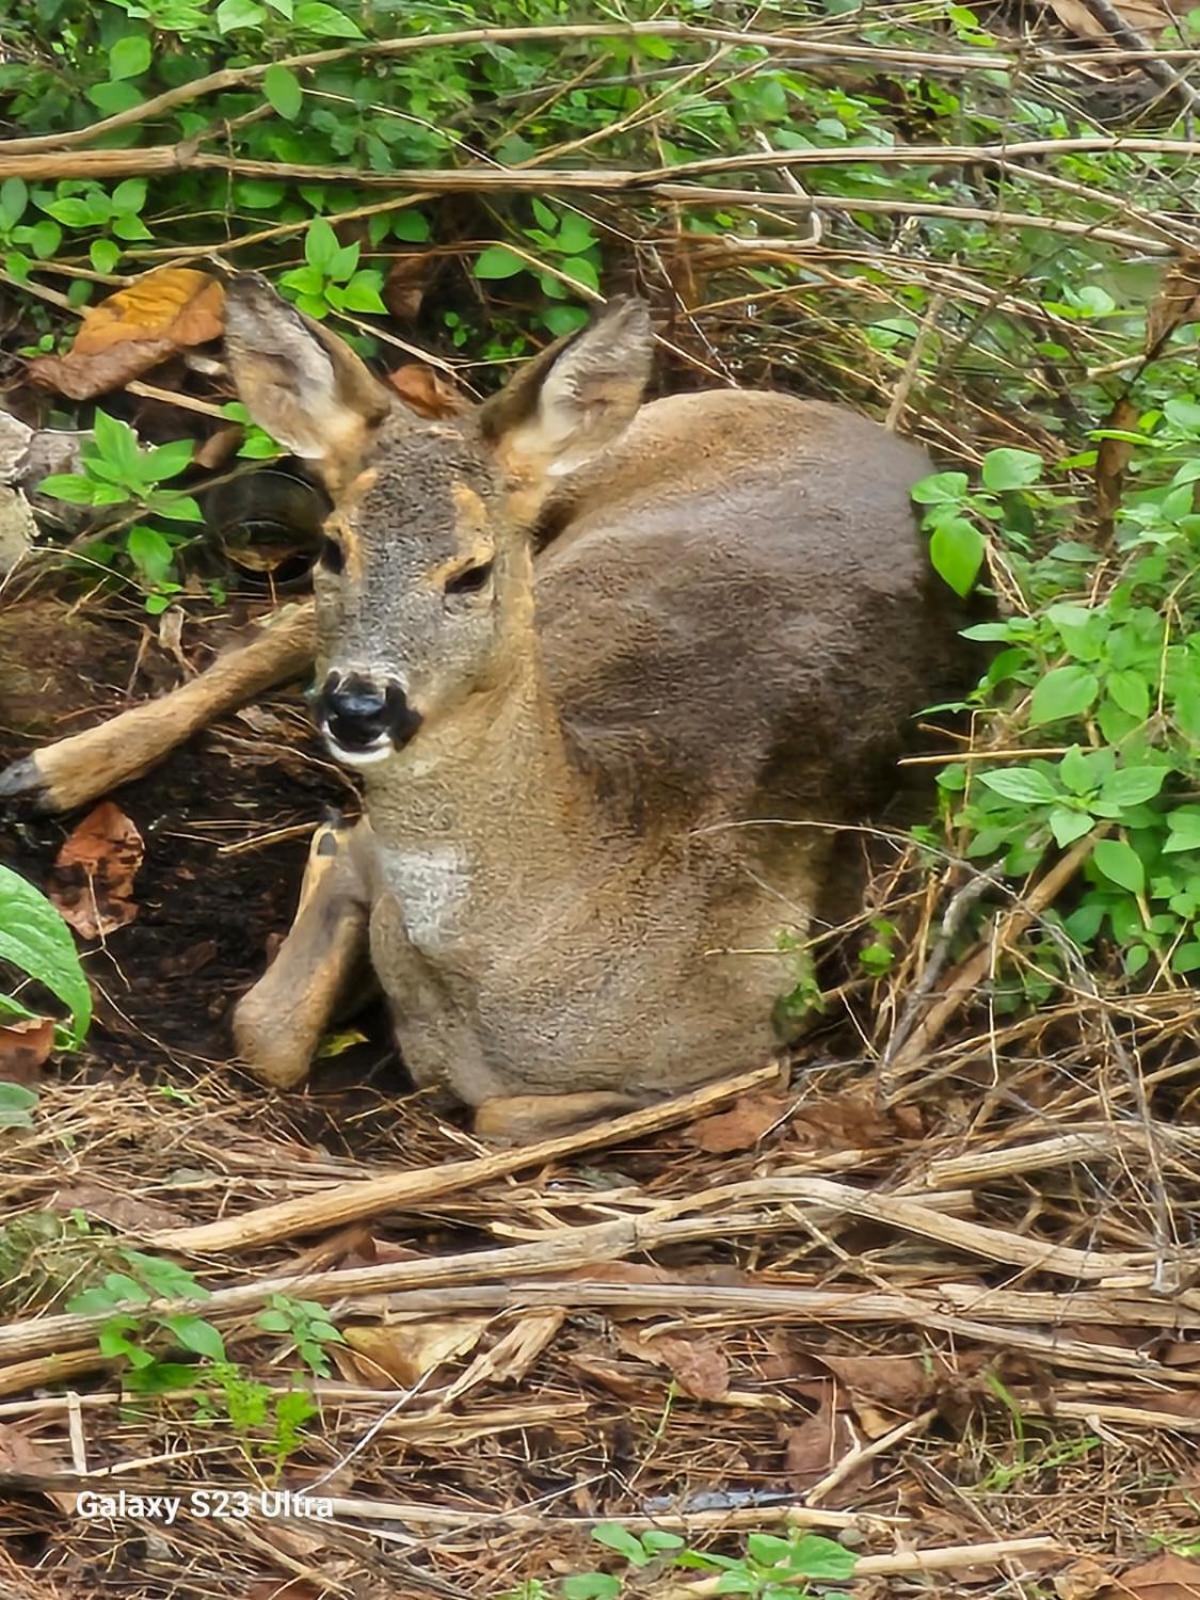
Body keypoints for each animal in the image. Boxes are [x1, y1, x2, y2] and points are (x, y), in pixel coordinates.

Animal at [2, 281, 966, 1145]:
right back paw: (46, 772)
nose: (360, 706)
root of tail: (892, 440)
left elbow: (500, 1114)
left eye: (471, 571)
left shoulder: (755, 1045)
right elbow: (266, 1030)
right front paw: (326, 856)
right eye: (333, 547)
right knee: (273, 636)